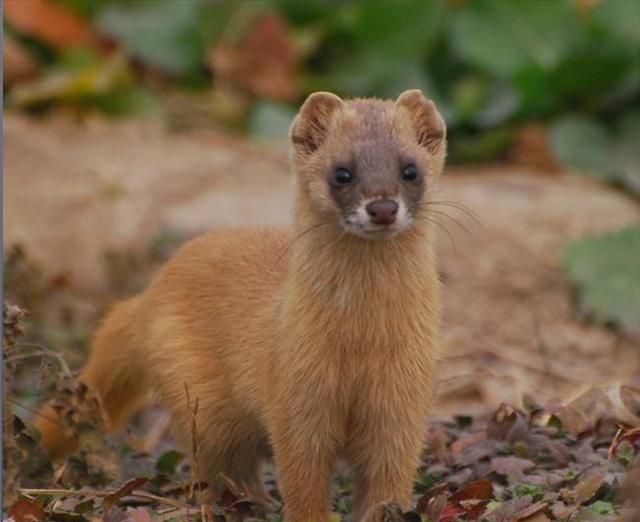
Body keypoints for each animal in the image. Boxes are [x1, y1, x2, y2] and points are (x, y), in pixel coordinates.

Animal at [35, 90, 444, 520]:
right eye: (341, 172)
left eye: (410, 169)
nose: (382, 207)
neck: (361, 344)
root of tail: (149, 294)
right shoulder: (295, 393)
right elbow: (301, 477)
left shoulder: (403, 400)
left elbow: (390, 476)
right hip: (200, 401)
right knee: (218, 463)